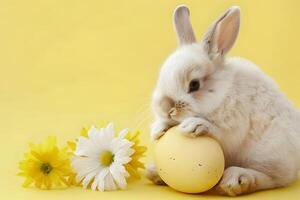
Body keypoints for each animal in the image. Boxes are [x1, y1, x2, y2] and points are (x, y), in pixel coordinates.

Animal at [148, 5, 300, 197]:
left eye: (194, 85)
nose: (165, 107)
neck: (222, 93)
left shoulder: (234, 127)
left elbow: (221, 134)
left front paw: (195, 125)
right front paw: (158, 129)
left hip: (270, 153)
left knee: (273, 178)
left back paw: (238, 179)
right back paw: (154, 172)